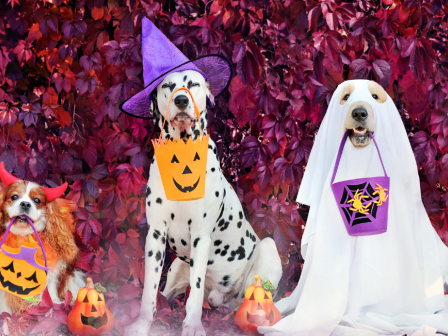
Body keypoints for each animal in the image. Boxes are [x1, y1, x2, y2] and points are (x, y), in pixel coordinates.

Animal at [0, 163, 85, 316]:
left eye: (37, 201)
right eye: (14, 197)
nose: (25, 204)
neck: (23, 235)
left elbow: (48, 288)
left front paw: (52, 304)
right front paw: (4, 312)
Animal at [124, 70, 282, 336]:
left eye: (193, 84)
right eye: (168, 85)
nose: (181, 101)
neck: (182, 156)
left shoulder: (201, 237)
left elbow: (195, 292)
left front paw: (193, 326)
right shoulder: (155, 235)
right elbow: (149, 289)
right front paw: (142, 324)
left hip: (267, 249)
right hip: (177, 265)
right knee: (165, 294)